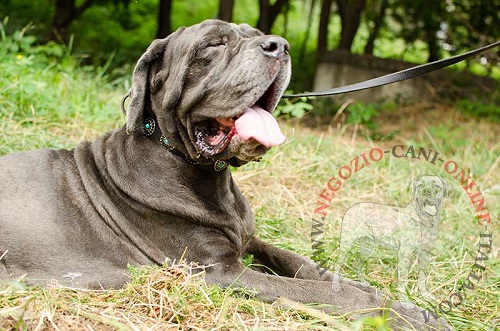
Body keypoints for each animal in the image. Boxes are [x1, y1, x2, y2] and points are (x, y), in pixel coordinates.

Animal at [0, 20, 452, 330]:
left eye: (259, 34)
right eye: (214, 44)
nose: (279, 46)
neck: (206, 177)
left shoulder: (249, 240)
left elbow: (306, 266)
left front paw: (390, 298)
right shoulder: (219, 272)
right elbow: (314, 290)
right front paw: (397, 315)